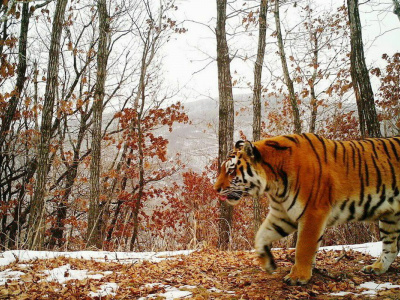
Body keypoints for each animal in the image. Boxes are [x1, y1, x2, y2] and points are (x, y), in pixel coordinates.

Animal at [214, 134, 400, 286]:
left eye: (231, 170)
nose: (215, 189)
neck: (274, 182)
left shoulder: (313, 212)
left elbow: (303, 247)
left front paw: (298, 277)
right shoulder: (282, 215)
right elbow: (261, 235)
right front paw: (268, 263)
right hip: (390, 217)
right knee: (391, 247)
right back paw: (376, 267)